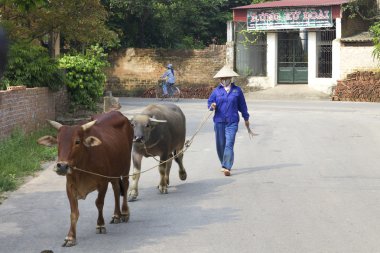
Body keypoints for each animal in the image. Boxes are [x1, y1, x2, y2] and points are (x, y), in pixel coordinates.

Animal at [37, 111, 134, 247]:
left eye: (77, 141)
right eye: (58, 142)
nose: (62, 166)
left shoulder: (102, 183)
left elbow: (99, 203)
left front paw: (100, 225)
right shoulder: (70, 187)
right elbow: (74, 212)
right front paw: (70, 237)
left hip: (125, 166)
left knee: (124, 186)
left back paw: (124, 213)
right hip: (113, 173)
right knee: (116, 189)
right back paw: (116, 215)